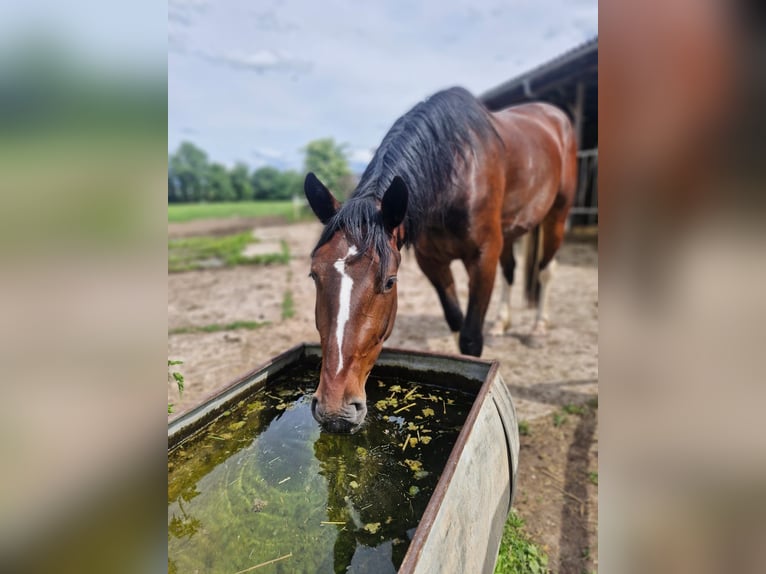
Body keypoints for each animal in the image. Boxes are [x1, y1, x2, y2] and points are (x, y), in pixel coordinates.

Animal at [304, 87, 576, 432]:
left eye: (389, 282)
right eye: (314, 275)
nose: (335, 411)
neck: (455, 174)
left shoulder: (482, 259)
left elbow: (471, 338)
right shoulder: (432, 263)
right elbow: (456, 322)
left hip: (557, 214)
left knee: (545, 270)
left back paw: (539, 328)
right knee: (512, 272)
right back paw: (502, 323)